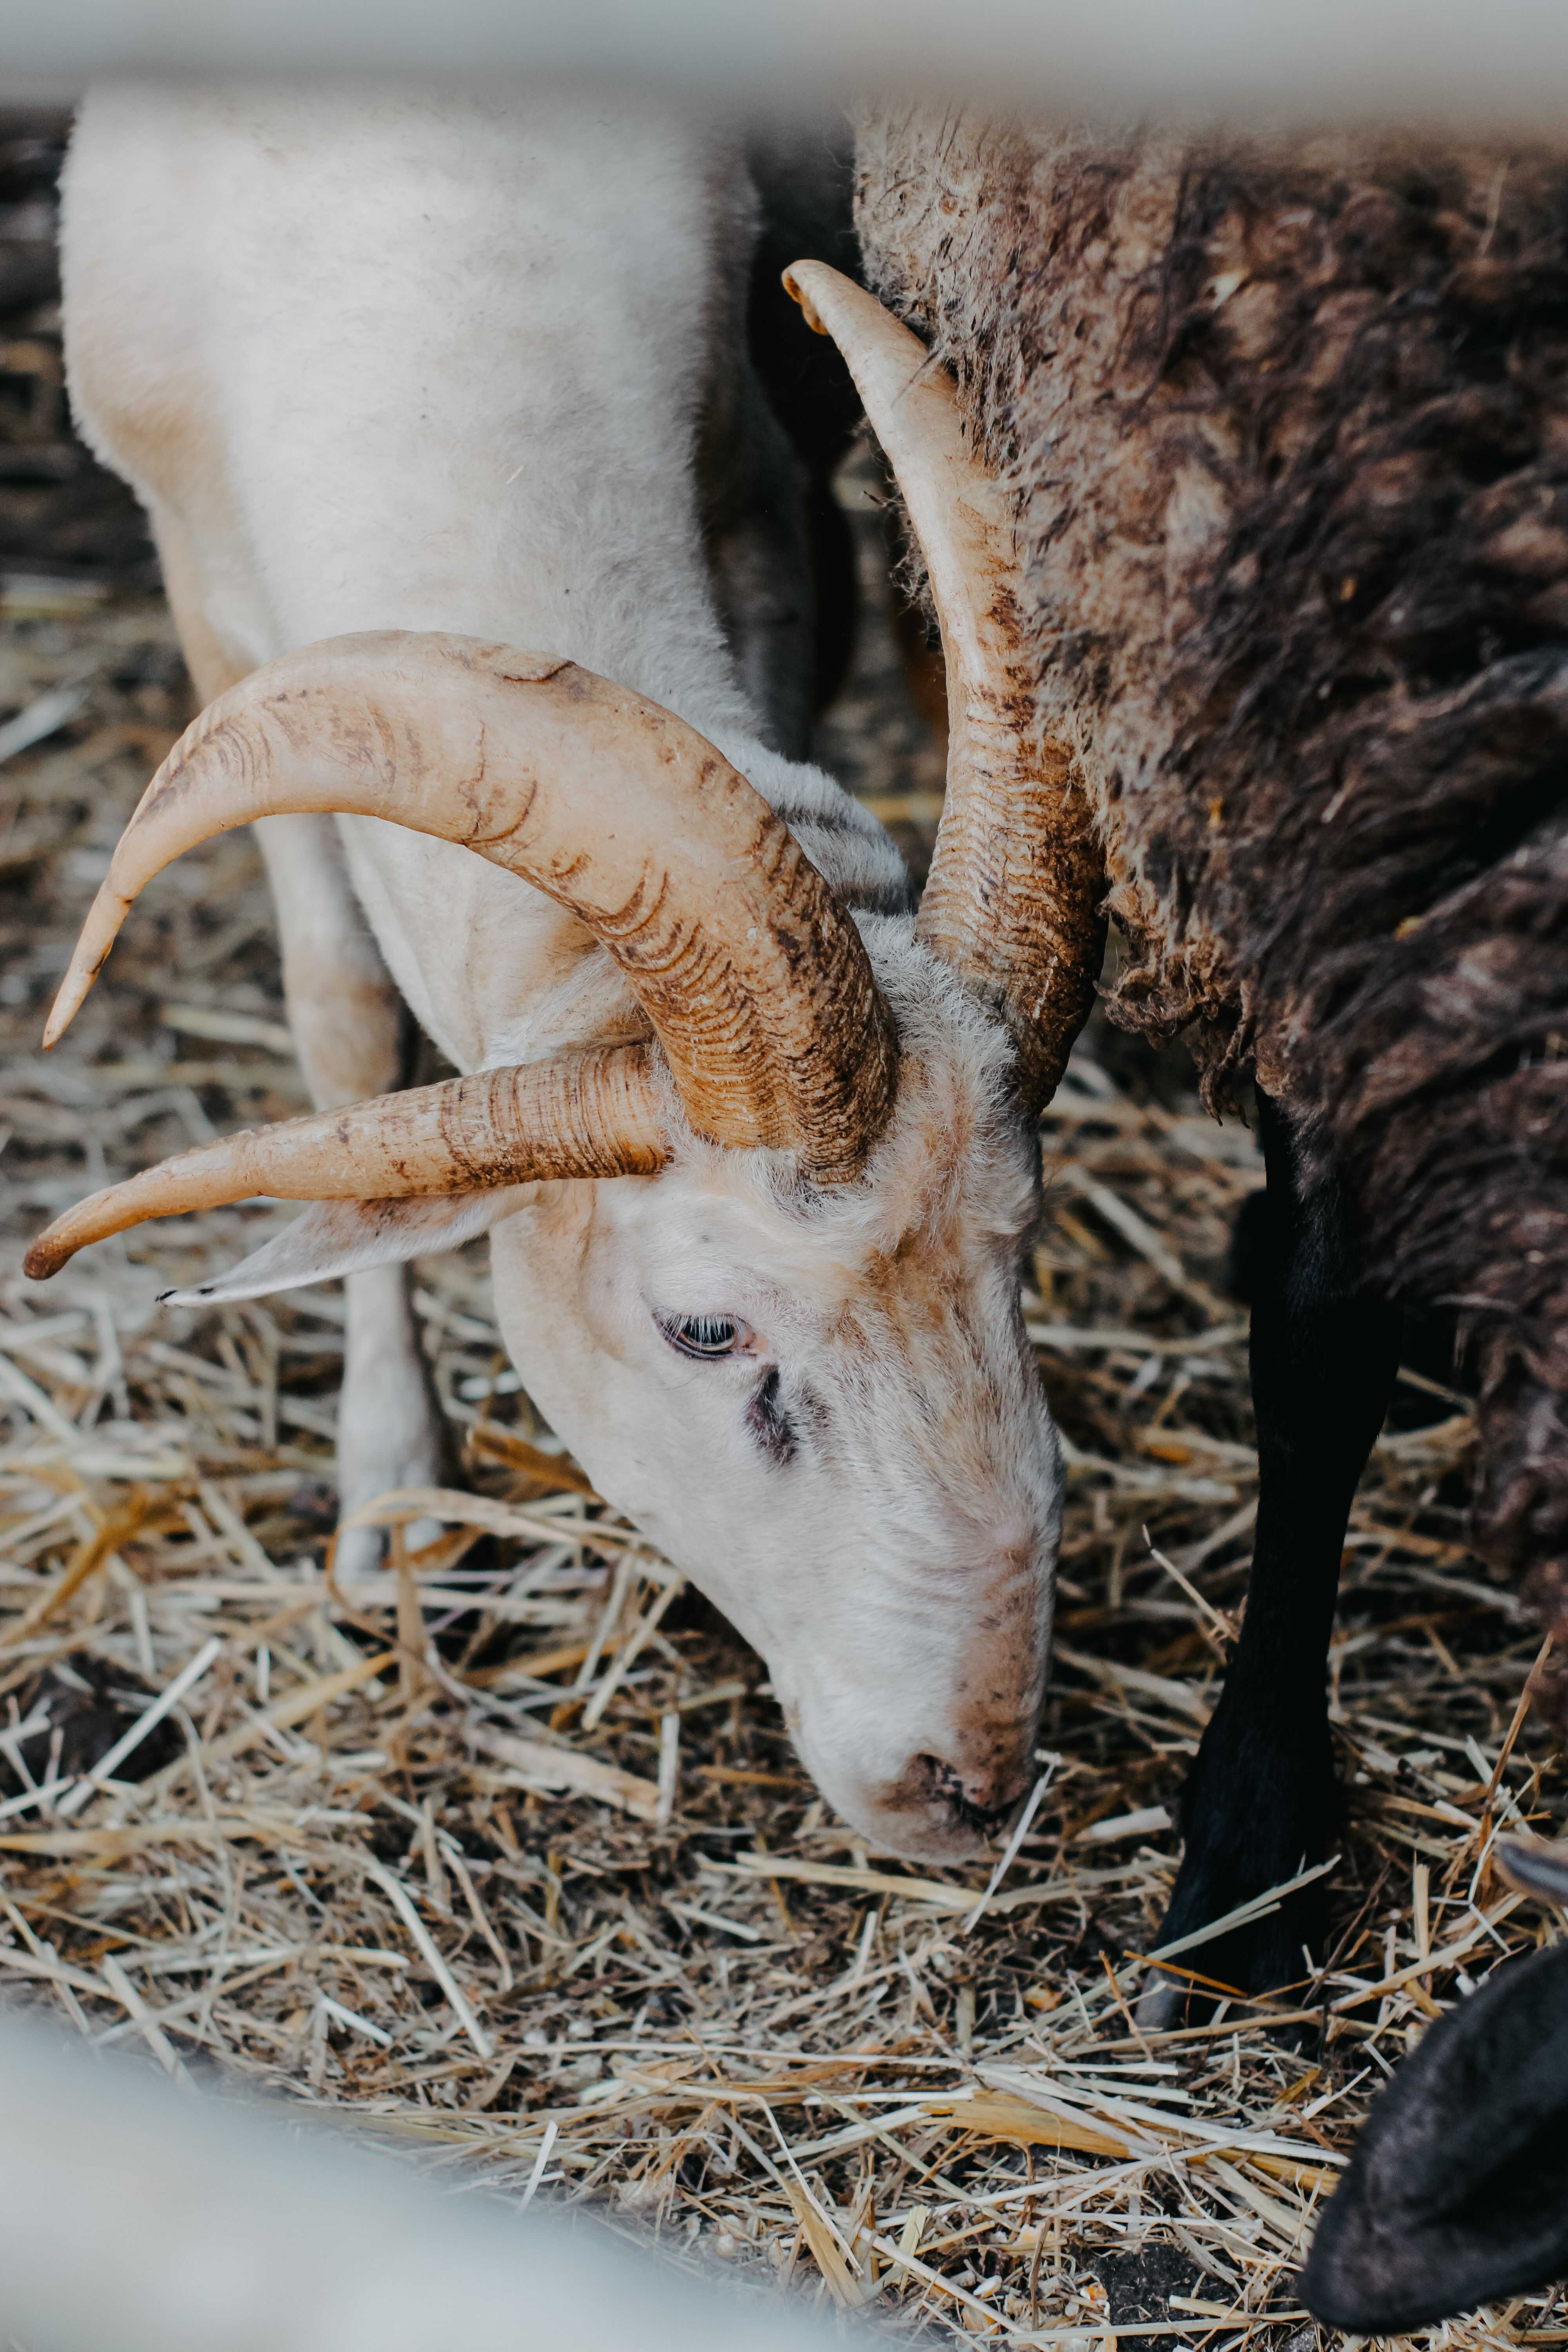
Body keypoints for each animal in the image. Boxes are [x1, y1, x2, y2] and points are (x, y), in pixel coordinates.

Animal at [23, 85, 1105, 1866]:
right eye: (703, 1332)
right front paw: (393, 1488)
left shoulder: (752, 502)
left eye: (1023, 1251)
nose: (967, 1781)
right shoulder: (206, 598)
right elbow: (338, 1018)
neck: (427, 271)